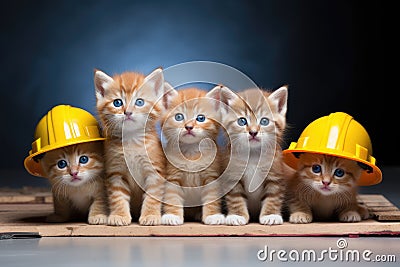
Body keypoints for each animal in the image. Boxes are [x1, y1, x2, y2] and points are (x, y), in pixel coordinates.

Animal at [95, 67, 169, 226]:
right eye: (117, 102)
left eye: (139, 102)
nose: (127, 112)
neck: (131, 141)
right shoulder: (115, 172)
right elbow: (117, 196)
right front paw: (119, 215)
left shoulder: (154, 171)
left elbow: (152, 195)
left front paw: (150, 215)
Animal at [161, 88, 227, 226]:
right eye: (179, 117)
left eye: (200, 118)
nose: (189, 127)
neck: (191, 153)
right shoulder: (172, 176)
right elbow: (172, 196)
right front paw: (172, 216)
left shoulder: (211, 177)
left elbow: (212, 197)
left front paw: (212, 216)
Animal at [208, 85, 290, 225]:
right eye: (242, 121)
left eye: (264, 121)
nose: (253, 132)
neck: (253, 155)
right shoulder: (232, 176)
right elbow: (235, 197)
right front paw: (237, 215)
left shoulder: (275, 174)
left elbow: (273, 195)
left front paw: (271, 215)